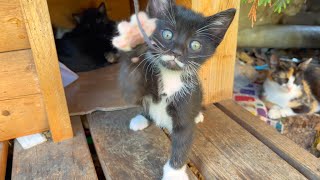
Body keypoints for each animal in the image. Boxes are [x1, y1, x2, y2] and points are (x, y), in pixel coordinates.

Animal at [112, 0, 235, 179]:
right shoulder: (136, 87)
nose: (176, 53)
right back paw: (142, 117)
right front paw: (132, 40)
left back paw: (198, 114)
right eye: (167, 35)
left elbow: (182, 144)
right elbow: (131, 88)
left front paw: (174, 173)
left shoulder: (187, 105)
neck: (170, 76)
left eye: (195, 45)